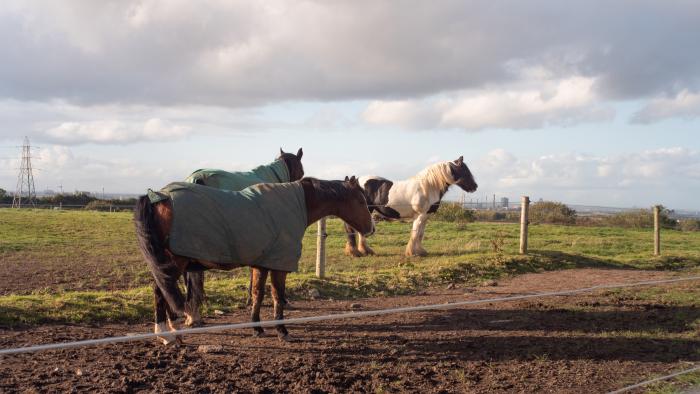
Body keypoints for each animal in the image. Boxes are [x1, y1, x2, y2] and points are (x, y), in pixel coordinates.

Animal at [132, 177, 372, 344]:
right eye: (361, 200)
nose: (371, 228)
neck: (298, 203)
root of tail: (156, 197)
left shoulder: (263, 264)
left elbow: (258, 294)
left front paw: (257, 327)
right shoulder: (278, 265)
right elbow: (277, 296)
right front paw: (282, 331)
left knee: (163, 292)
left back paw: (171, 332)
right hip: (173, 264)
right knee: (160, 293)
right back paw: (167, 335)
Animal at [346, 155, 478, 258]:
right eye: (465, 171)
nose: (475, 187)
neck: (428, 187)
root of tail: (355, 181)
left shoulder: (425, 216)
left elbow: (420, 234)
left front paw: (421, 251)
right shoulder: (419, 216)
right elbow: (415, 233)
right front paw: (412, 253)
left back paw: (364, 251)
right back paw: (356, 252)